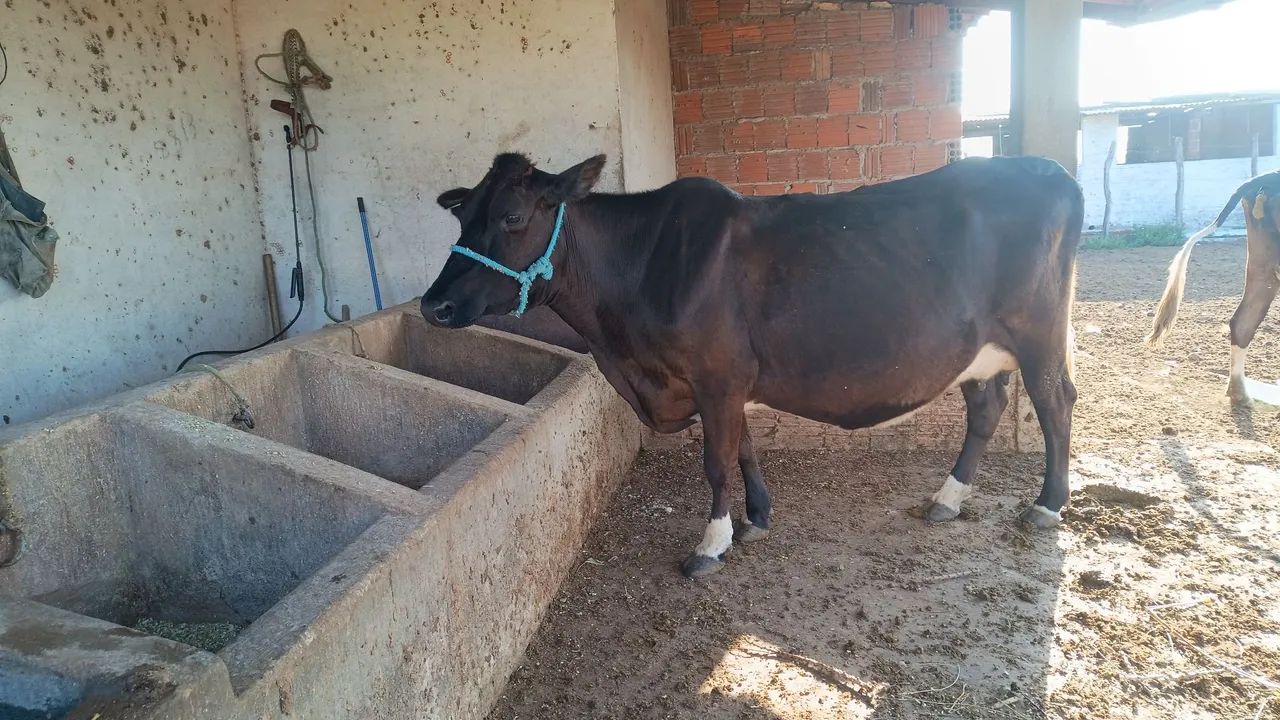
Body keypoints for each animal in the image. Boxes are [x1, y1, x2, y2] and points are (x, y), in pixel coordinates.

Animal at [422, 152, 1084, 577]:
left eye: (512, 216)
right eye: (461, 214)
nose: (434, 305)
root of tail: (1048, 169)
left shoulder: (716, 375)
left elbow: (716, 461)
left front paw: (711, 546)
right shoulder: (726, 381)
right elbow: (742, 447)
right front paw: (757, 516)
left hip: (1039, 333)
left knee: (1055, 402)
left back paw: (1046, 505)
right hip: (979, 350)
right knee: (988, 406)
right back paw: (949, 499)